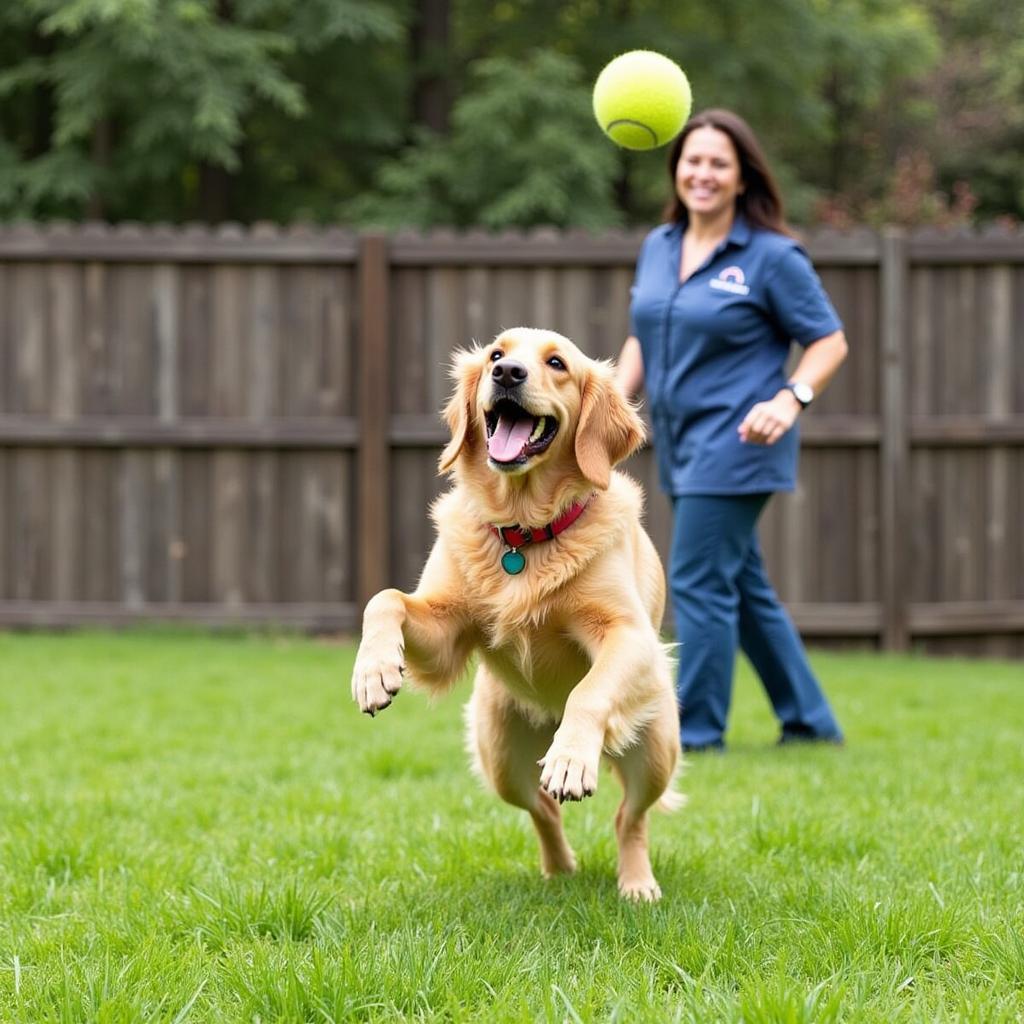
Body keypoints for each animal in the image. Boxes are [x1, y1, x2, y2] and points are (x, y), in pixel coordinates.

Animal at [350, 329, 679, 905]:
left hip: (655, 749)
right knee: (542, 809)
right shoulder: (446, 630)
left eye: (557, 363)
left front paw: (571, 758)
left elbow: (588, 690)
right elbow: (384, 597)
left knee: (629, 818)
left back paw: (637, 883)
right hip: (501, 757)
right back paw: (559, 870)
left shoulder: (629, 633)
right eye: (496, 355)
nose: (507, 374)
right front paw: (375, 671)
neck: (524, 533)